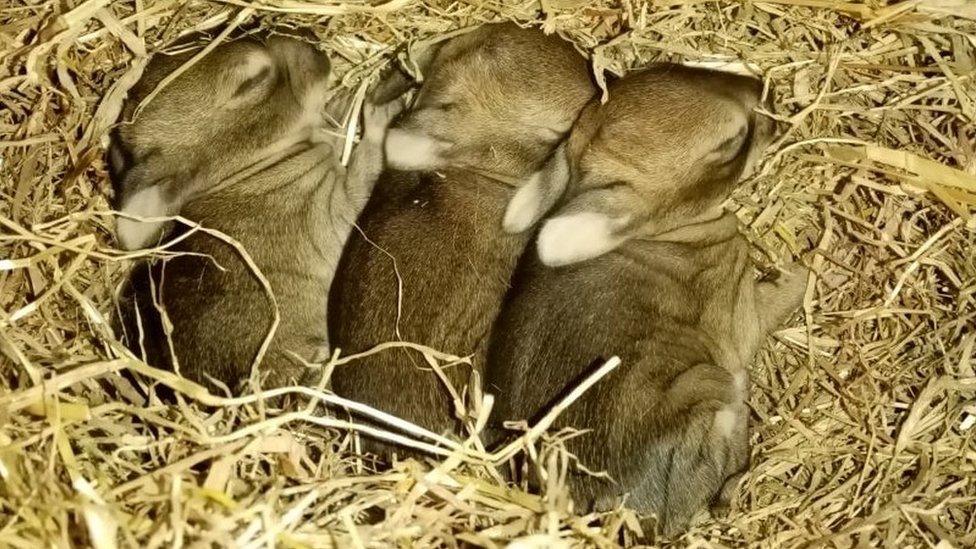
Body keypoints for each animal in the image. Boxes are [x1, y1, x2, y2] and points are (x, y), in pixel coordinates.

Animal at [109, 33, 392, 390]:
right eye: (250, 82)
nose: (314, 46)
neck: (248, 170)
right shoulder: (334, 208)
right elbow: (366, 165)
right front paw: (379, 114)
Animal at [488, 64, 808, 532]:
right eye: (730, 143)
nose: (768, 92)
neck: (665, 232)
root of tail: (622, 509)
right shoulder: (740, 308)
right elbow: (789, 291)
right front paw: (811, 265)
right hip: (710, 383)